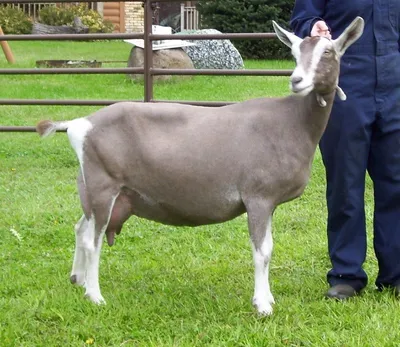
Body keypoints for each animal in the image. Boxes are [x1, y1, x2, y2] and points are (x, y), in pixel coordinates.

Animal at [37, 17, 366, 316]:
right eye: (295, 53)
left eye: (328, 52)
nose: (297, 80)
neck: (292, 121)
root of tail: (79, 124)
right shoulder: (258, 196)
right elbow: (262, 251)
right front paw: (262, 306)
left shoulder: (269, 202)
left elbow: (269, 247)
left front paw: (268, 299)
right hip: (103, 185)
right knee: (92, 240)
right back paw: (95, 297)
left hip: (93, 190)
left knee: (80, 228)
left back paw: (78, 280)